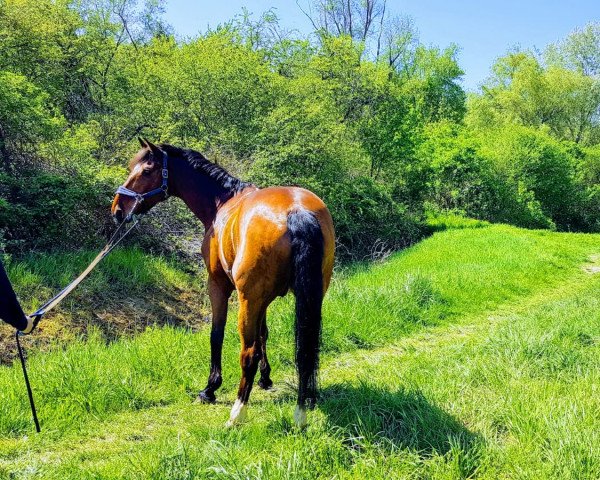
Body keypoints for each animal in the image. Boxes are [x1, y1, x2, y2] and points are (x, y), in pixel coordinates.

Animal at [110, 139, 336, 428]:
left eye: (147, 170)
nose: (118, 209)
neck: (222, 202)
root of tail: (297, 211)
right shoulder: (262, 298)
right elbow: (264, 333)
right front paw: (266, 378)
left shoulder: (219, 287)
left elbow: (216, 335)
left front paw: (210, 388)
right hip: (303, 297)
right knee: (307, 347)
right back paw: (304, 403)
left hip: (248, 299)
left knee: (248, 353)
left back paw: (238, 412)